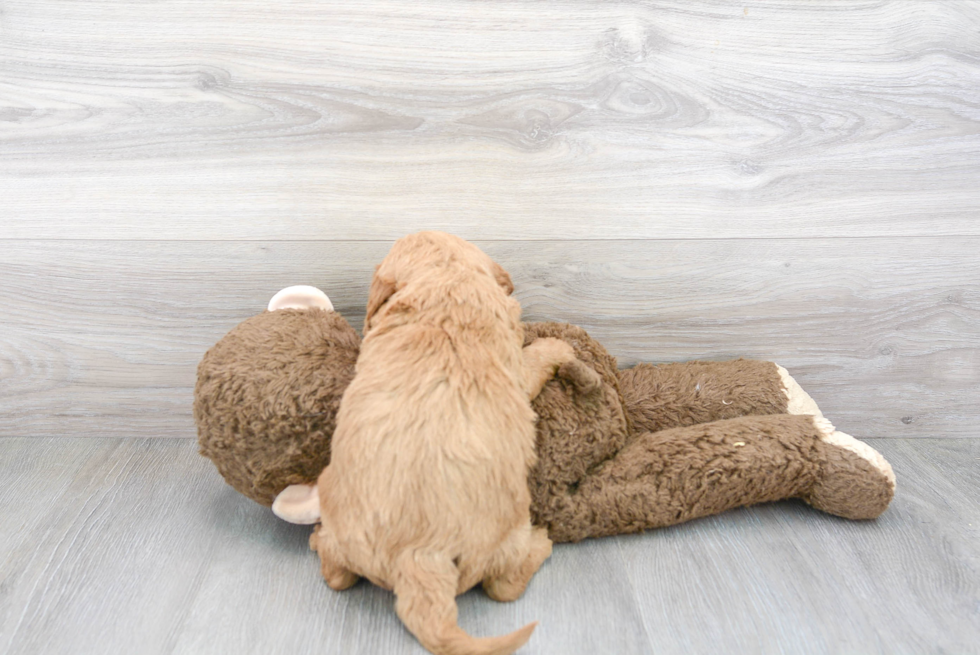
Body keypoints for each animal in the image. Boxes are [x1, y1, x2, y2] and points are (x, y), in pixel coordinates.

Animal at [312, 232, 576, 655]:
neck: (446, 282)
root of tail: (420, 555)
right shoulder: (518, 367)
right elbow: (533, 357)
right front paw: (559, 347)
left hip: (333, 505)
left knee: (337, 575)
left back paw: (316, 539)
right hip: (507, 535)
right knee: (505, 585)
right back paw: (541, 542)